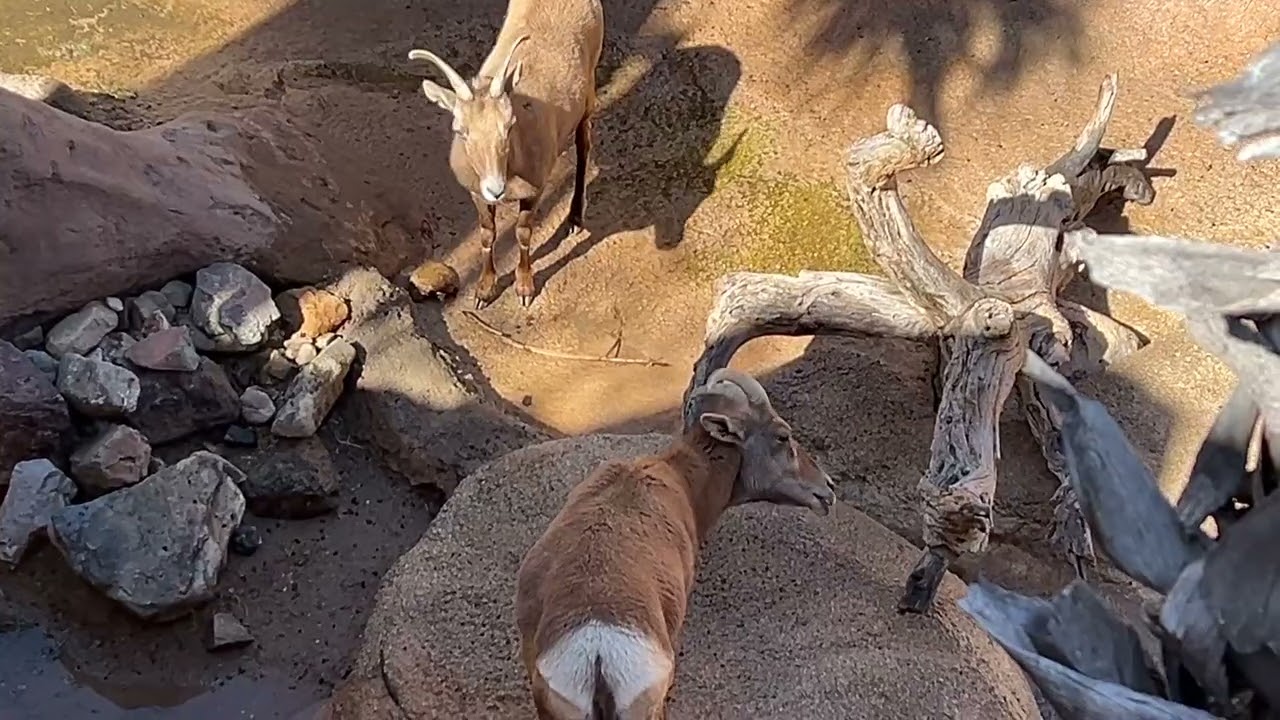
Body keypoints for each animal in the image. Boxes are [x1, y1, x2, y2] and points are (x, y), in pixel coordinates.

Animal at [407, 0, 604, 309]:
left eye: (509, 124)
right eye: (460, 129)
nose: (496, 188)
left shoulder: (535, 189)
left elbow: (523, 233)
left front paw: (524, 288)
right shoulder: (476, 193)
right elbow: (488, 233)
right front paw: (484, 290)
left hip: (589, 90)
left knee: (584, 145)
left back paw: (574, 219)